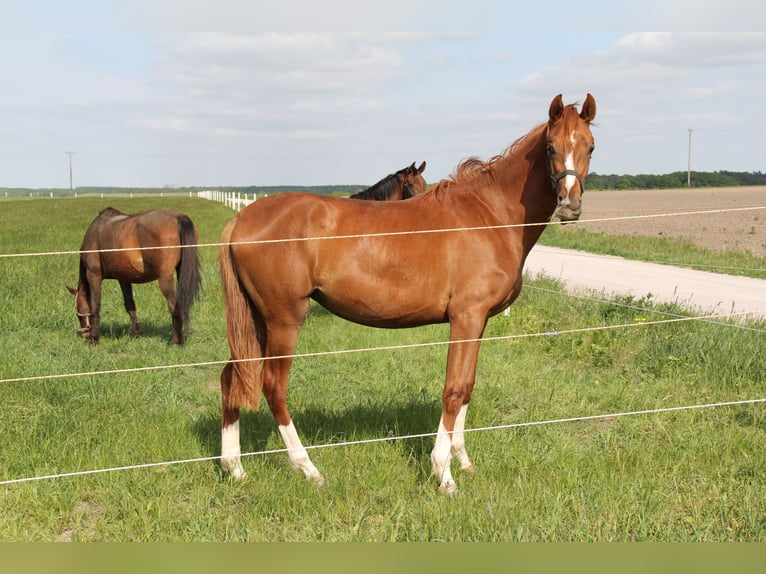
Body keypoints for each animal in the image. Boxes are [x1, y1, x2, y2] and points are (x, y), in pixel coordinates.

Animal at [68, 207, 201, 344]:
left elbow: (95, 306)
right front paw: (138, 333)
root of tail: (177, 217)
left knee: (174, 306)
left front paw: (94, 338)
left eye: (78, 314)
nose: (85, 335)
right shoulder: (123, 279)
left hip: (164, 279)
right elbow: (130, 305)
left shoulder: (94, 275)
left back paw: (174, 342)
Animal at [219, 94, 596, 496]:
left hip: (256, 319)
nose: (570, 205)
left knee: (232, 378)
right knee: (273, 386)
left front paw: (463, 462)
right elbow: (454, 390)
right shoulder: (466, 318)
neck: (490, 215)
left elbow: (467, 388)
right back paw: (308, 469)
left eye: (590, 146)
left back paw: (235, 468)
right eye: (551, 147)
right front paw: (443, 474)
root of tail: (241, 219)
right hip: (283, 319)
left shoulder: (477, 323)